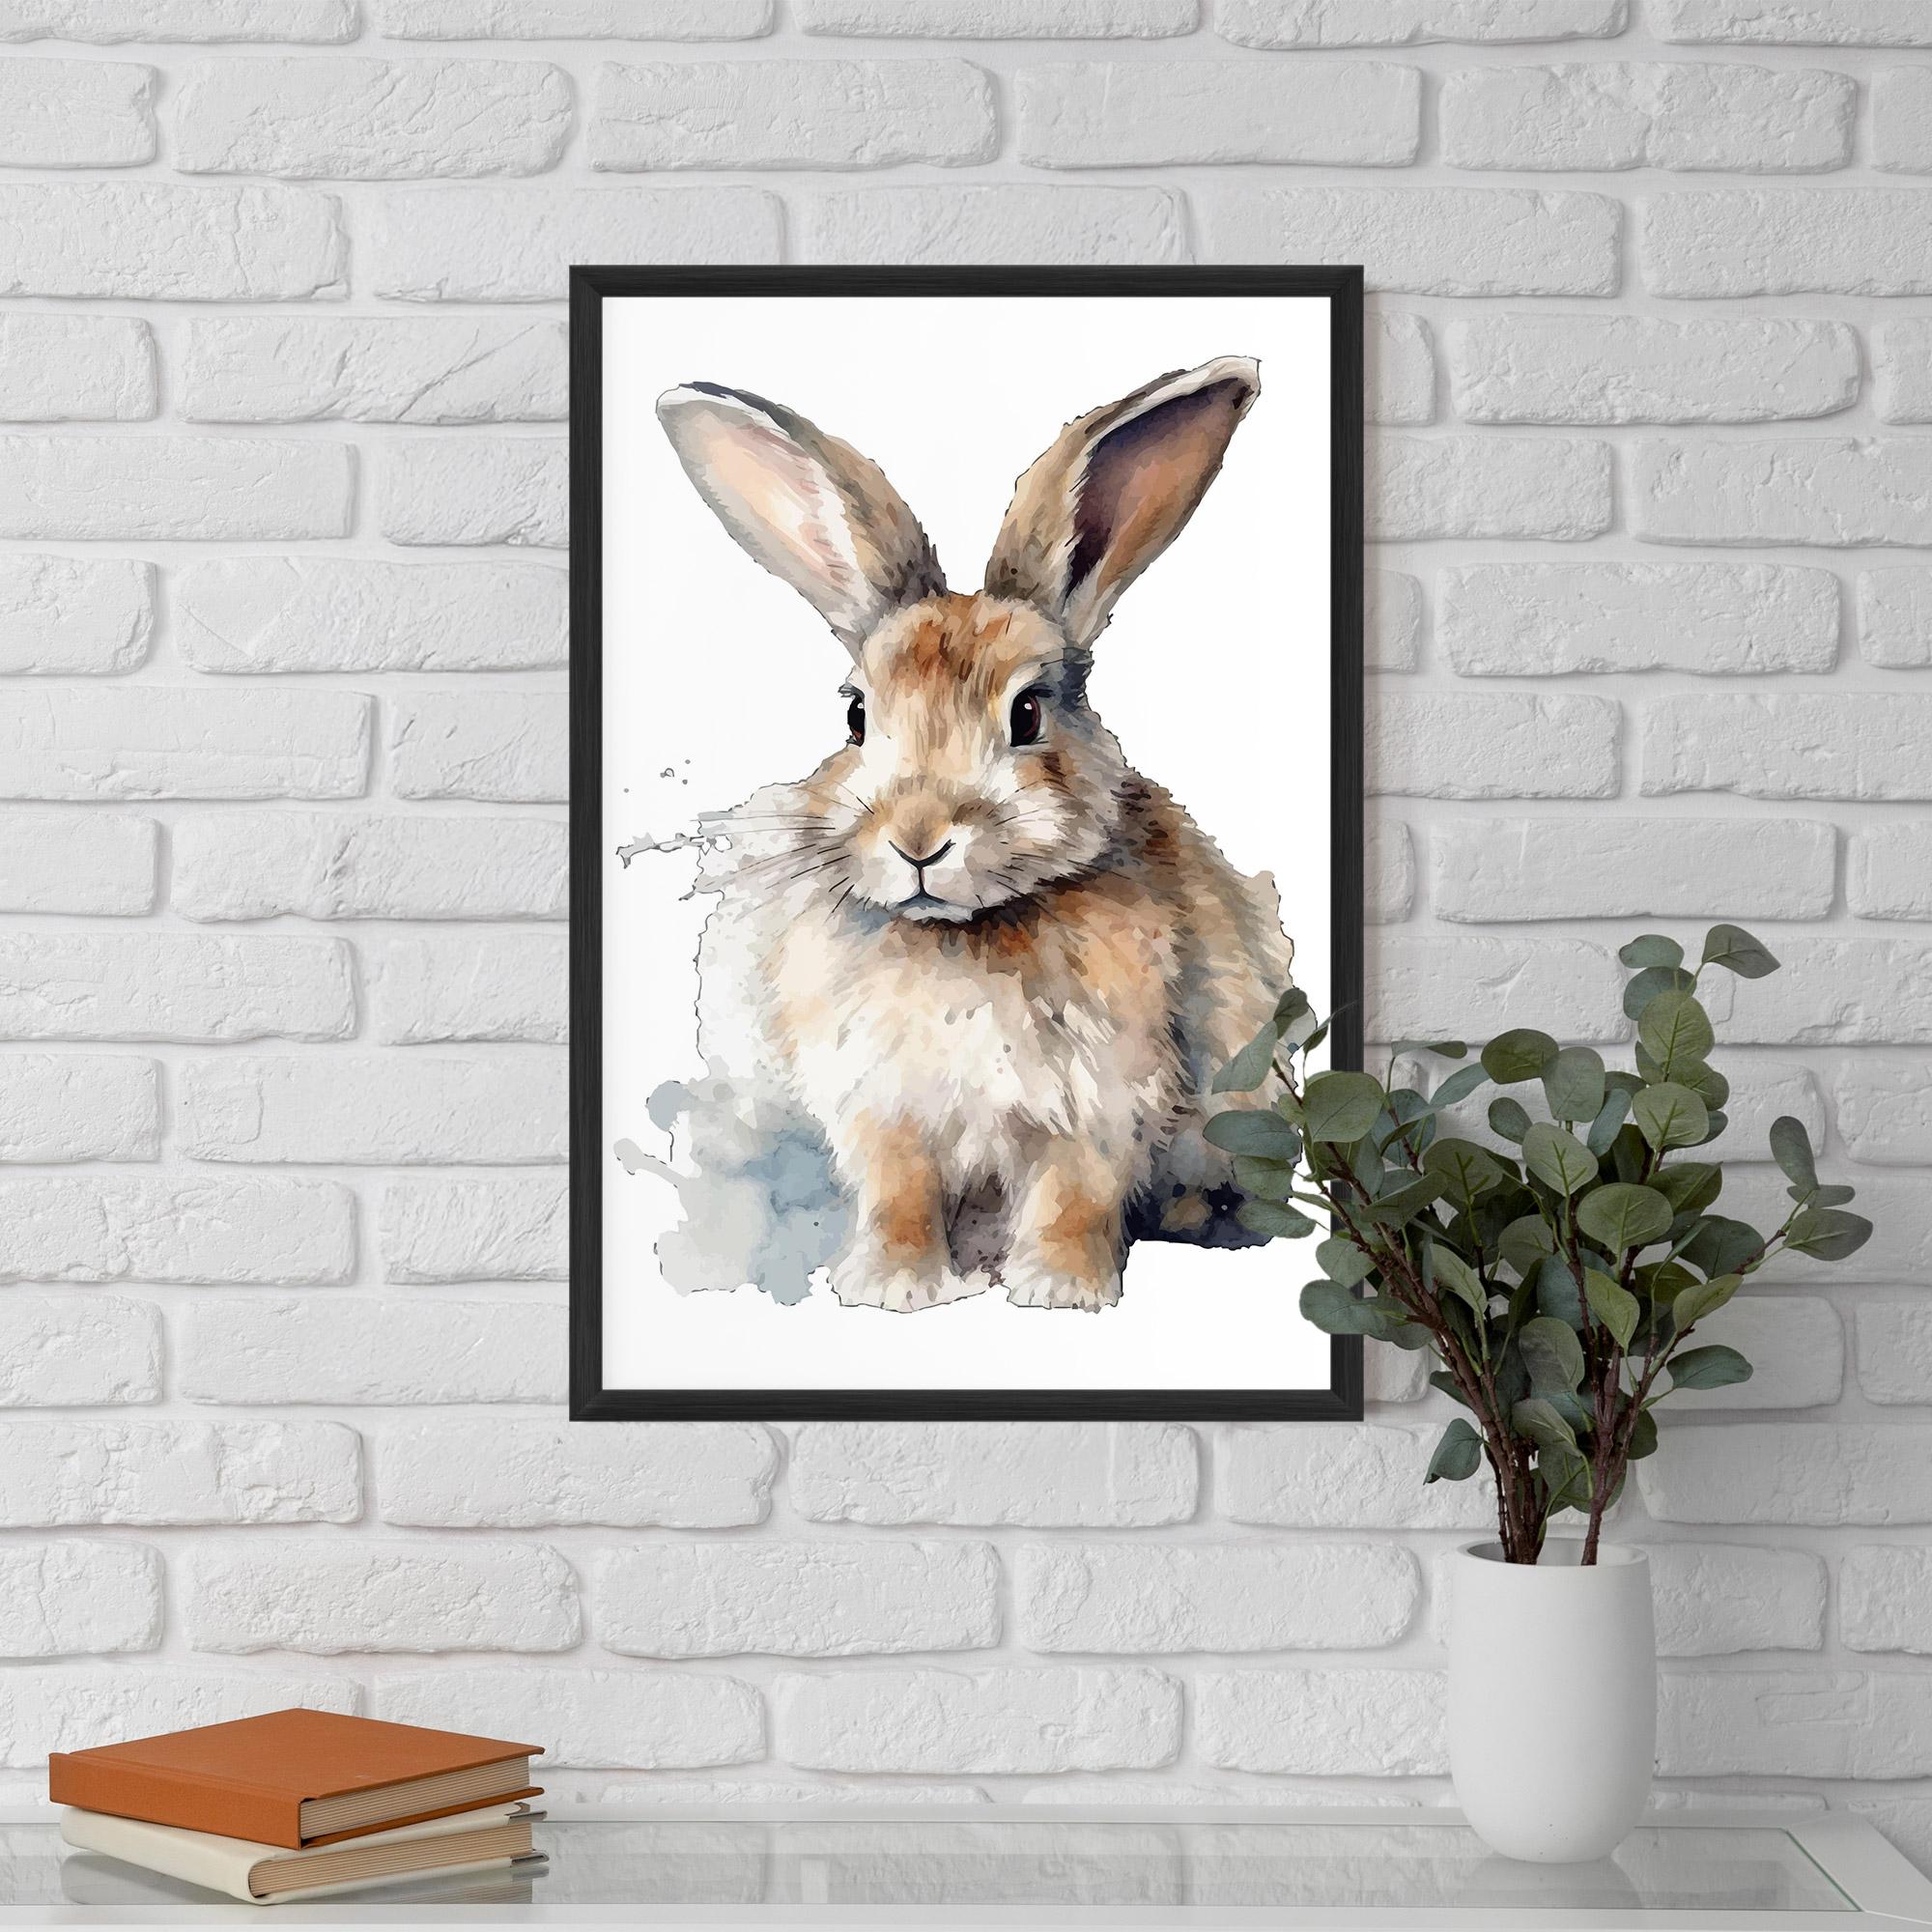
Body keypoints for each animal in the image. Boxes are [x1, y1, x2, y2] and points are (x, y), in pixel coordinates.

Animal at [654, 357, 1295, 1314]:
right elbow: (901, 1196)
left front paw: (1061, 1291)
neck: (963, 935)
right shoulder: (887, 1110)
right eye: (856, 717)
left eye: (1027, 713)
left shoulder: (1101, 1103)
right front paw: (891, 1288)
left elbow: (1074, 1196)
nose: (918, 840)